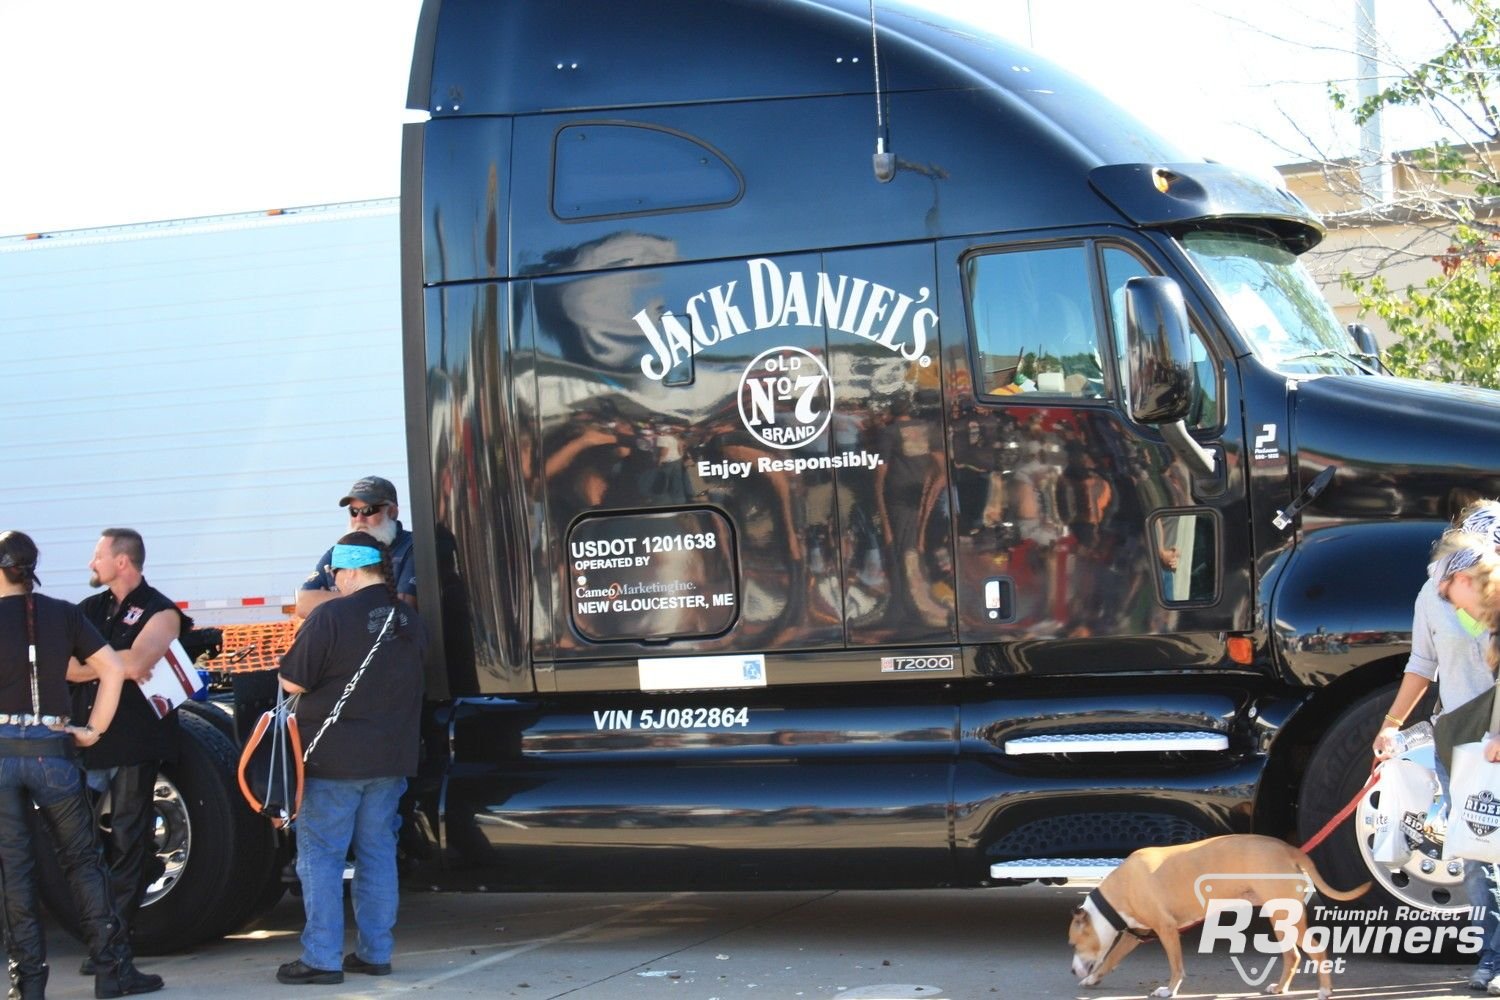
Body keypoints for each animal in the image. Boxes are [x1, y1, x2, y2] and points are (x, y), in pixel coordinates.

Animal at [1068, 839, 1374, 1000]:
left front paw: (1170, 989)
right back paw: (1281, 987)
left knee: (1316, 950)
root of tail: (1287, 848)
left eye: (1072, 943)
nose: (1071, 971)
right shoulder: (1136, 934)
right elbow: (1110, 959)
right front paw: (1092, 979)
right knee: (1293, 956)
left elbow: (1176, 967)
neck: (1117, 893)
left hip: (1287, 917)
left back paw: (1324, 989)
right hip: (1280, 918)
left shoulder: (1167, 930)